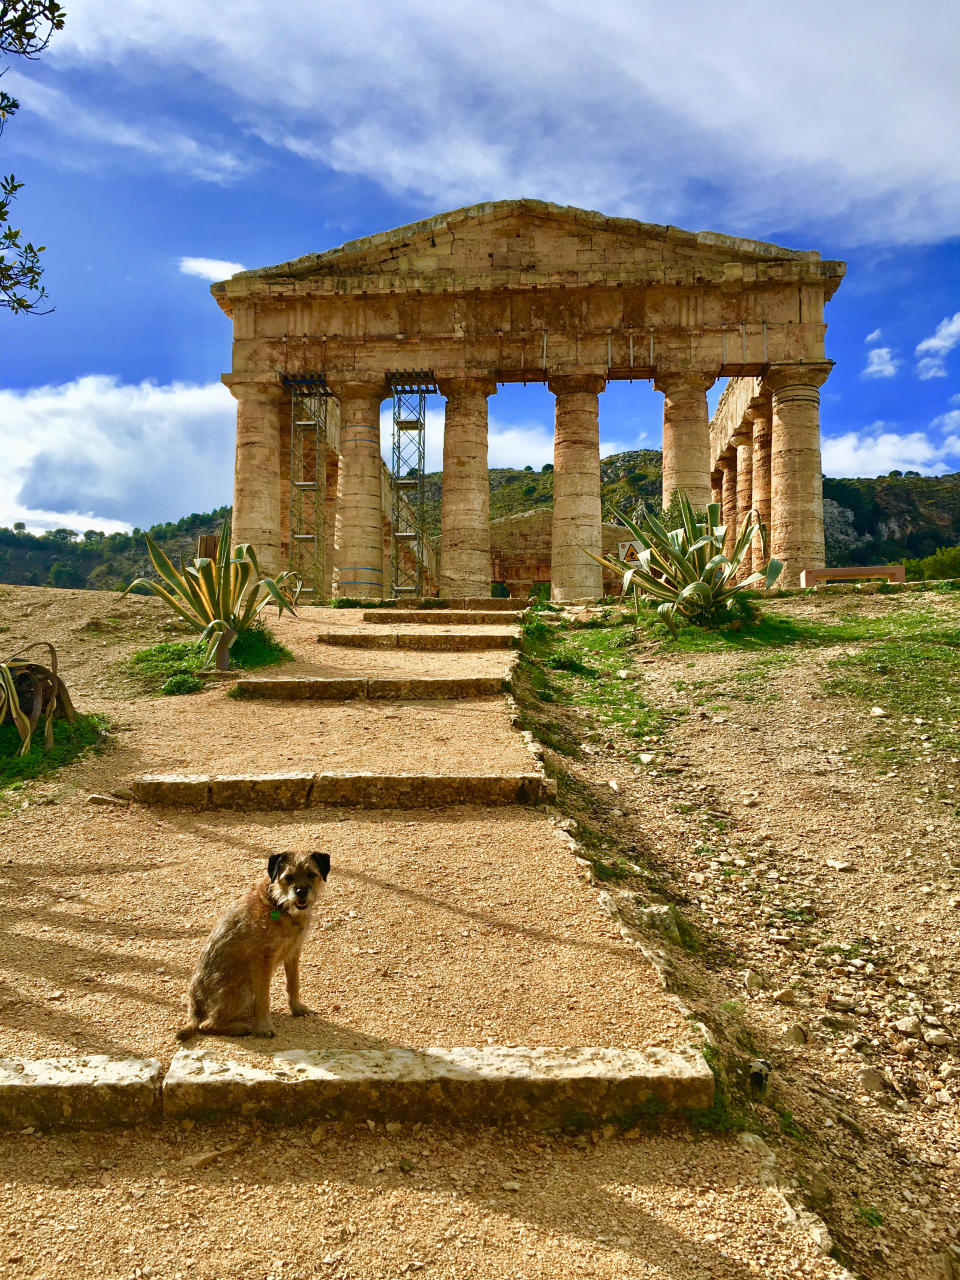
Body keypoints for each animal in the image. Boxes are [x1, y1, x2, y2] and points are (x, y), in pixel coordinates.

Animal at [176, 849, 330, 1039]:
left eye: (311, 874)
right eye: (288, 877)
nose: (301, 891)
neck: (278, 904)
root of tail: (194, 1004)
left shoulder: (294, 951)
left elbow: (293, 983)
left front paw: (297, 1007)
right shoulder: (264, 959)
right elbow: (264, 998)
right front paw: (263, 1027)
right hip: (244, 985)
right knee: (206, 1025)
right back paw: (240, 1028)